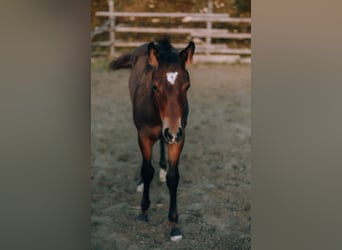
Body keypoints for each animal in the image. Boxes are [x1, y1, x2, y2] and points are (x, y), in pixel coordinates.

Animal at [110, 38, 195, 240]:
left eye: (187, 86)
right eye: (155, 86)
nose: (172, 131)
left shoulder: (180, 136)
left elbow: (174, 177)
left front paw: (174, 224)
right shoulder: (144, 135)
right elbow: (147, 170)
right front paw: (143, 211)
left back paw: (163, 168)